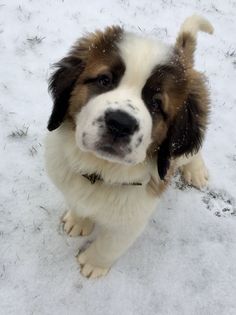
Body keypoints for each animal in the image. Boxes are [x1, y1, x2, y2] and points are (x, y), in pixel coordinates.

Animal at [44, 15, 214, 278]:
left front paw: (92, 264)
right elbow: (77, 203)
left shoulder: (133, 219)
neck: (100, 171)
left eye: (156, 103)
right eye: (104, 80)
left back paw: (195, 171)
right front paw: (79, 221)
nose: (120, 123)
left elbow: (111, 244)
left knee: (193, 152)